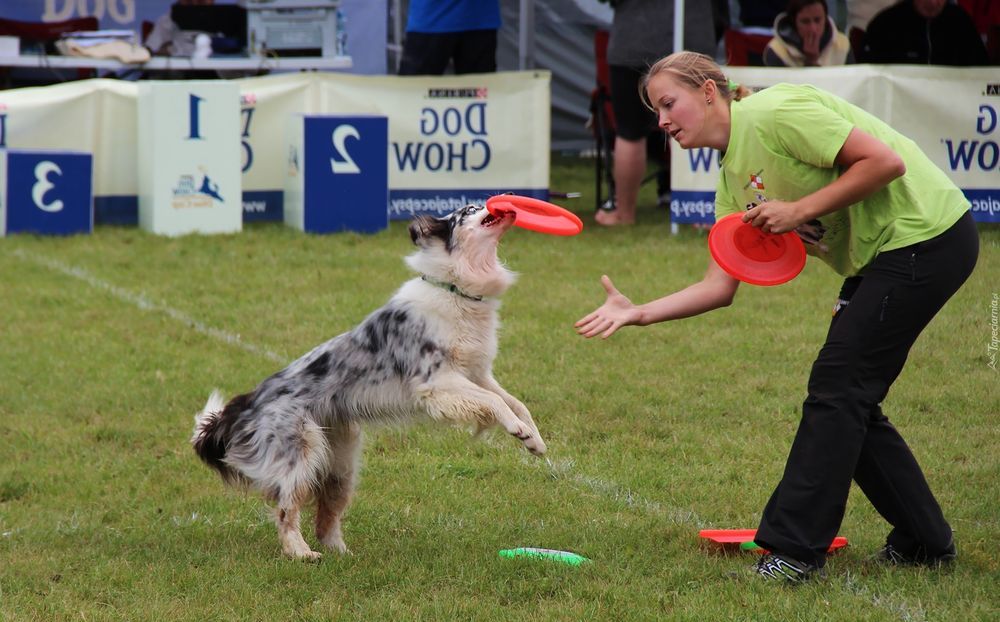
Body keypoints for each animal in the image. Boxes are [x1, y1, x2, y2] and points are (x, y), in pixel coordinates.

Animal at [188, 205, 548, 560]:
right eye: (468, 210)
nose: (502, 203)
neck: (455, 290)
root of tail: (244, 405)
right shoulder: (437, 383)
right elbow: (496, 403)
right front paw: (518, 430)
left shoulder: (477, 374)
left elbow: (516, 403)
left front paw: (534, 440)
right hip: (300, 454)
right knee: (286, 509)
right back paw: (301, 553)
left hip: (341, 462)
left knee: (326, 513)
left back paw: (342, 552)